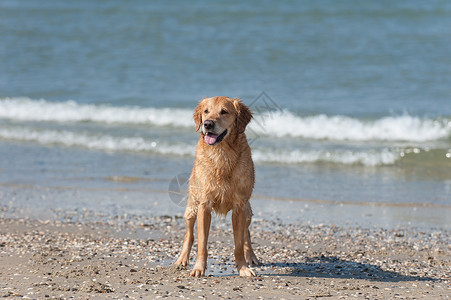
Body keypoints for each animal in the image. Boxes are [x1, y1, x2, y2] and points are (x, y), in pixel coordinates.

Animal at [177, 96, 262, 276]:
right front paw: (198, 268)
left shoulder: (239, 207)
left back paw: (250, 256)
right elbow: (202, 243)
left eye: (224, 111)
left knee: (246, 233)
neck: (222, 154)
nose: (207, 124)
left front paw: (243, 268)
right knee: (189, 234)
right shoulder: (204, 205)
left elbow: (238, 243)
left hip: (248, 211)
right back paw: (182, 259)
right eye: (206, 111)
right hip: (192, 207)